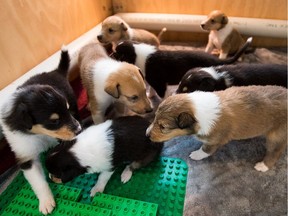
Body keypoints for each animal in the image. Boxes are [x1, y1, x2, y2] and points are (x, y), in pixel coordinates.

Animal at [0, 48, 81, 215]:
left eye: (67, 110)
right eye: (54, 121)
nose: (78, 129)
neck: (40, 134)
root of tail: (56, 71)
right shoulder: (26, 156)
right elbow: (38, 181)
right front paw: (46, 203)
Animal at [112, 37, 252, 98]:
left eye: (117, 53)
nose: (110, 55)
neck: (138, 53)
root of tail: (217, 59)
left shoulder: (159, 83)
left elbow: (162, 96)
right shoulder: (154, 81)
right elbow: (151, 89)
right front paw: (150, 95)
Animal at [147, 85, 286, 171]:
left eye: (163, 126)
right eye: (154, 117)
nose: (147, 135)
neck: (198, 112)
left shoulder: (214, 140)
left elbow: (205, 150)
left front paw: (196, 155)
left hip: (277, 136)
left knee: (275, 151)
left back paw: (263, 166)